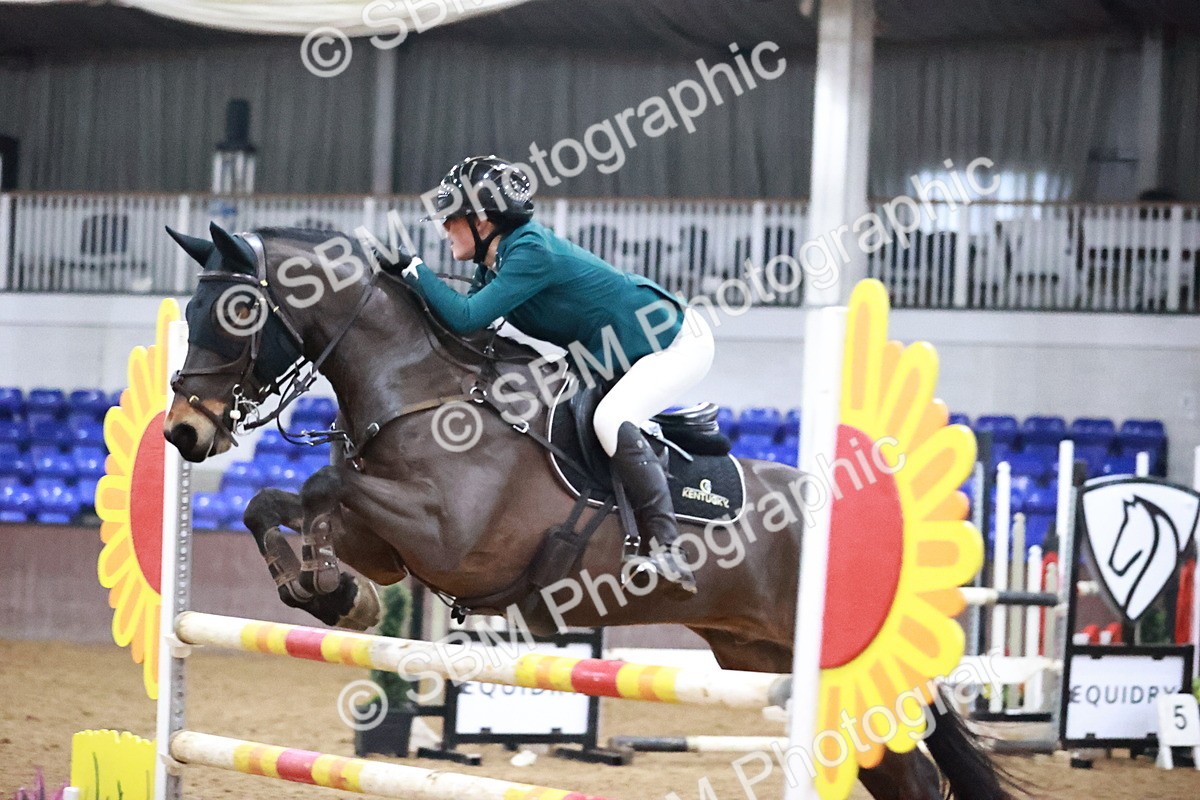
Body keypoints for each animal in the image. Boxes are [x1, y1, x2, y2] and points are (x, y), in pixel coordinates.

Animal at [162, 222, 1017, 800]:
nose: (183, 431)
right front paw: (333, 593)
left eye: (237, 312)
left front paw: (336, 591)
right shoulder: (391, 542)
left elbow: (318, 487)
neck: (424, 391)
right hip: (760, 656)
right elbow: (272, 503)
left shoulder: (450, 538)